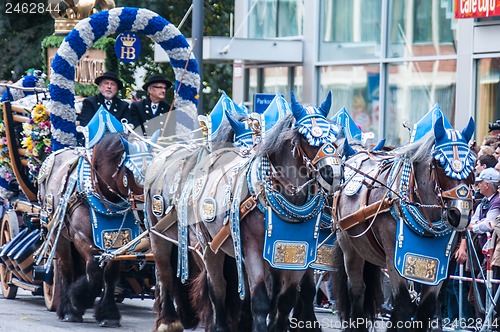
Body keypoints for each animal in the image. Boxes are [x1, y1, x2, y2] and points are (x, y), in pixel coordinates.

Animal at [37, 130, 152, 326]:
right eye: (133, 173)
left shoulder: (118, 245)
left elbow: (110, 276)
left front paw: (108, 315)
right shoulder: (82, 238)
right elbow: (95, 272)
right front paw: (78, 301)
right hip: (59, 235)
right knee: (66, 267)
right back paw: (68, 310)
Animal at [334, 115, 474, 330]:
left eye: (472, 163)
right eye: (440, 163)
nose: (460, 213)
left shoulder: (439, 265)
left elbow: (426, 308)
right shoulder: (395, 259)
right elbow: (403, 306)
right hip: (350, 249)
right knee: (357, 291)